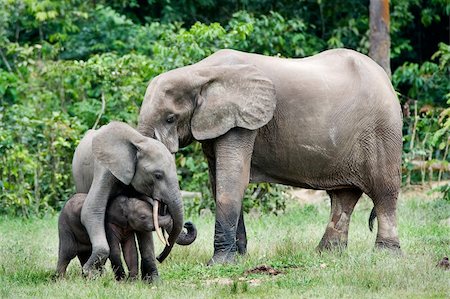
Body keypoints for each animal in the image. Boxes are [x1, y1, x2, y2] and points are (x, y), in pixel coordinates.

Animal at [56, 195, 197, 282]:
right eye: (142, 217)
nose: (187, 224)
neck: (125, 203)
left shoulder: (128, 226)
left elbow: (131, 250)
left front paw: (132, 281)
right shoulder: (108, 224)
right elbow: (114, 250)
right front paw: (122, 281)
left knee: (86, 254)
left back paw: (90, 279)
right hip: (65, 225)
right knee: (68, 252)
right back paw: (60, 280)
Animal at [72, 121, 183, 278]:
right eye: (158, 175)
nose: (159, 257)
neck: (138, 141)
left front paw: (153, 280)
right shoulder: (105, 169)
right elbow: (91, 210)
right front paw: (90, 273)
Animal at [138, 47, 404, 264]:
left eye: (170, 118)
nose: (188, 226)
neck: (198, 73)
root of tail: (385, 78)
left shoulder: (242, 122)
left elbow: (231, 180)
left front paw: (219, 264)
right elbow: (218, 182)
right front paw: (239, 259)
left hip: (382, 130)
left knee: (383, 190)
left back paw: (385, 256)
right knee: (343, 196)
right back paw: (327, 254)